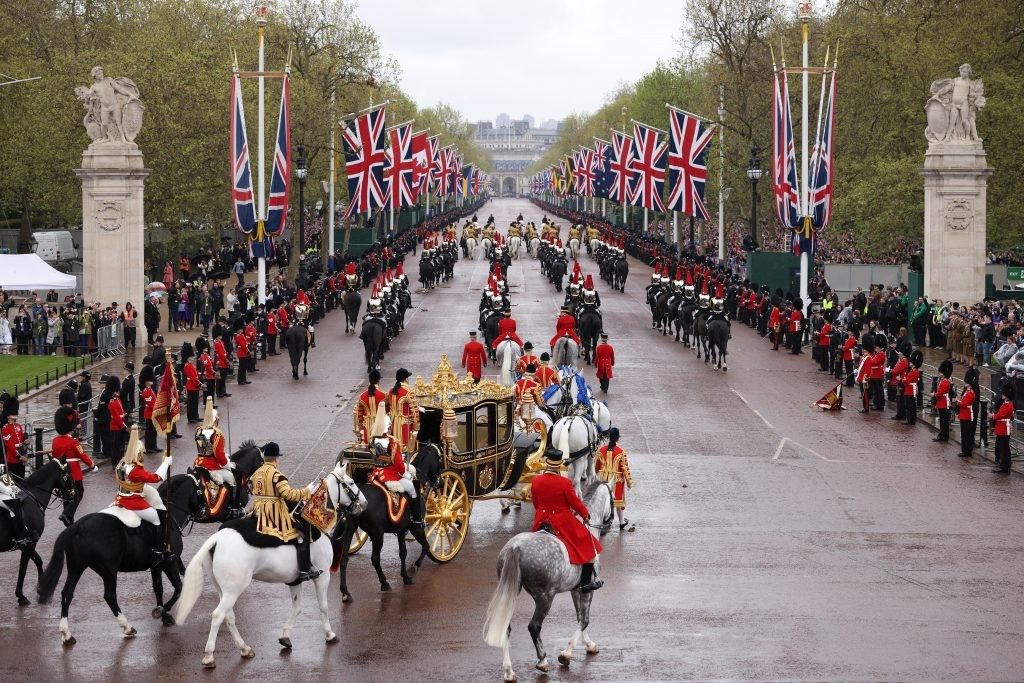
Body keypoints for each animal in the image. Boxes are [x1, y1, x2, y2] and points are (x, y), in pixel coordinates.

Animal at [0, 462, 74, 606]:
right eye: (67, 473)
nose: (74, 493)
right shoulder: (29, 543)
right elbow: (28, 566)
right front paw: (36, 592)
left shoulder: (27, 545)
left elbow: (32, 563)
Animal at [38, 473, 201, 643]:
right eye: (199, 491)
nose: (203, 511)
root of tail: (79, 525)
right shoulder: (170, 563)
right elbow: (178, 588)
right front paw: (162, 611)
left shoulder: (156, 565)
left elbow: (158, 588)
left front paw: (163, 614)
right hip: (109, 571)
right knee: (109, 596)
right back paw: (127, 627)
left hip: (77, 567)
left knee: (67, 593)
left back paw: (67, 634)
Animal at [173, 462, 368, 671]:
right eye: (351, 483)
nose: (364, 504)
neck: (314, 524)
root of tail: (216, 538)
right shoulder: (322, 576)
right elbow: (323, 606)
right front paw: (330, 634)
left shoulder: (295, 580)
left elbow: (297, 607)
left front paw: (285, 637)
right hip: (234, 590)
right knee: (218, 615)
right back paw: (209, 656)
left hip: (223, 590)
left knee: (229, 617)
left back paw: (245, 649)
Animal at [327, 440, 440, 602]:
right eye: (440, 459)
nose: (438, 481)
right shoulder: (415, 528)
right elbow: (425, 546)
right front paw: (413, 569)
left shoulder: (400, 529)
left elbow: (403, 552)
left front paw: (405, 575)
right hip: (377, 534)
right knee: (375, 558)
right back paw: (384, 583)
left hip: (350, 529)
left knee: (343, 559)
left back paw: (345, 592)